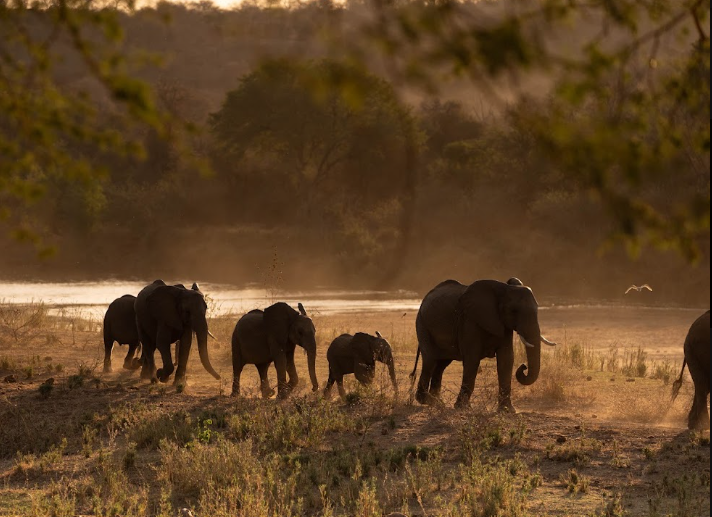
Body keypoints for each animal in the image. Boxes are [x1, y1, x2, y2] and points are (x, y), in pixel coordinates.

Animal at [410, 278, 557, 411]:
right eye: (513, 311)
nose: (524, 366)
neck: (503, 289)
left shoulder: (502, 324)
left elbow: (506, 359)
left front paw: (507, 410)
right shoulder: (469, 321)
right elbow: (472, 360)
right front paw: (463, 408)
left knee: (441, 364)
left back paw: (436, 403)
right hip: (422, 324)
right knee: (430, 360)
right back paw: (424, 400)